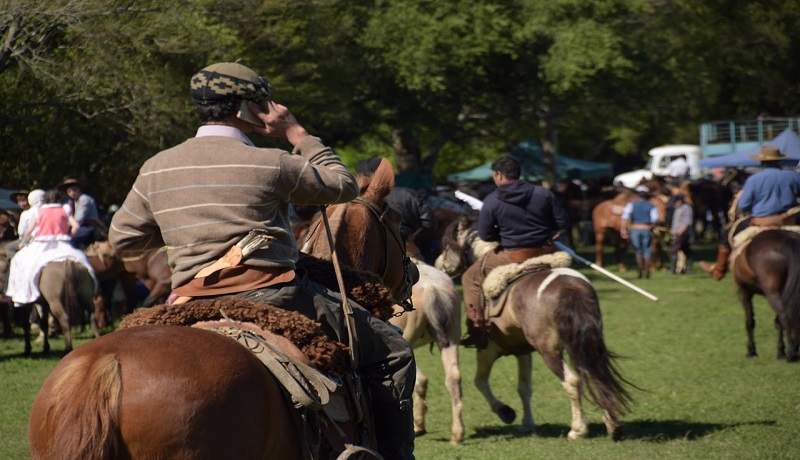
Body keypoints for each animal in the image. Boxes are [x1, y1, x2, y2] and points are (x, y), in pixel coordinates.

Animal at [434, 214, 636, 440]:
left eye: (445, 245)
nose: (438, 264)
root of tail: (569, 287)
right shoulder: (523, 351)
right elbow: (524, 388)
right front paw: (527, 424)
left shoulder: (488, 348)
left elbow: (481, 381)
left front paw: (506, 412)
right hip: (584, 344)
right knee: (595, 374)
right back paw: (613, 425)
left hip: (548, 350)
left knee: (572, 381)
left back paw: (577, 430)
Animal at [732, 228, 800, 362]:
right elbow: (777, 323)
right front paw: (780, 352)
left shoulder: (745, 293)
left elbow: (749, 322)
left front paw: (751, 351)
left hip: (771, 294)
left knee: (785, 317)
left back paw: (792, 353)